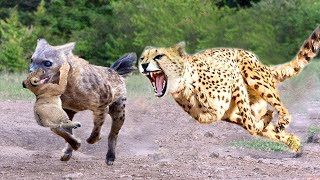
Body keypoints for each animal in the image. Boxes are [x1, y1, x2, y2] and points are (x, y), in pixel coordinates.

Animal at [139, 25, 320, 152]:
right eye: (142, 57)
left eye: (159, 56)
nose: (143, 64)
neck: (185, 86)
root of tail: (259, 62)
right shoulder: (224, 114)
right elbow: (250, 124)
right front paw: (264, 122)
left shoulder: (234, 78)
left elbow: (250, 122)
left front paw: (264, 121)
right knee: (266, 121)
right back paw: (293, 142)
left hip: (253, 76)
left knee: (278, 107)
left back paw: (282, 121)